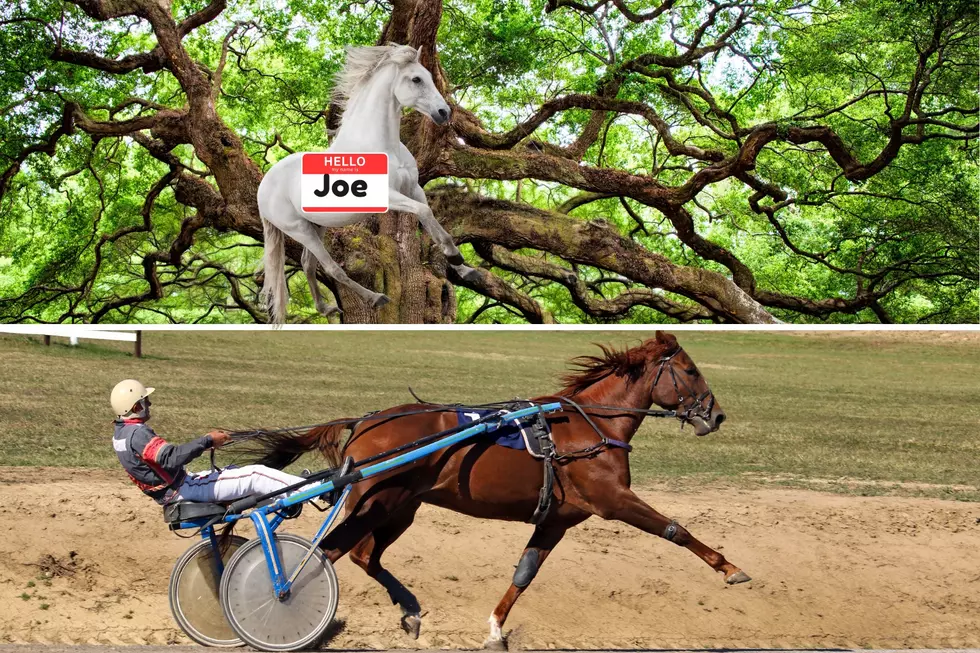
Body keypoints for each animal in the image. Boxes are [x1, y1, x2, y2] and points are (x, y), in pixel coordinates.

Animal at [239, 331, 749, 649]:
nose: (717, 415)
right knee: (327, 553)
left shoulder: (557, 520)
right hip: (380, 503)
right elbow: (676, 530)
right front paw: (731, 569)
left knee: (365, 555)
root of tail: (366, 421)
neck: (589, 428)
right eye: (690, 370)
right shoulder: (613, 500)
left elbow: (524, 575)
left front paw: (495, 630)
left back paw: (410, 610)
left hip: (400, 508)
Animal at [257, 44, 480, 322]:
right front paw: (456, 257)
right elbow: (424, 213)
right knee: (332, 268)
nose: (444, 113)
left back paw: (326, 308)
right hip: (299, 229)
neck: (383, 146)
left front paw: (465, 268)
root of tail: (264, 186)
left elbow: (434, 222)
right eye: (416, 79)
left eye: (429, 76)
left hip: (317, 224)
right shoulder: (388, 196)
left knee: (308, 264)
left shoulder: (413, 189)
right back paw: (375, 298)